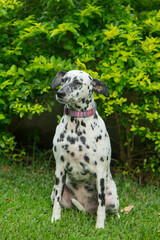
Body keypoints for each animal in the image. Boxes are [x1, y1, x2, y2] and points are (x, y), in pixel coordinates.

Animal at [50, 70, 119, 229]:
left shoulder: (100, 173)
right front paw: (55, 219)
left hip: (112, 197)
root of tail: (86, 208)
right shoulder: (60, 169)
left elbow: (101, 204)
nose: (60, 93)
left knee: (112, 209)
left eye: (78, 82)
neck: (77, 126)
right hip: (55, 191)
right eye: (64, 80)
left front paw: (100, 226)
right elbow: (57, 202)